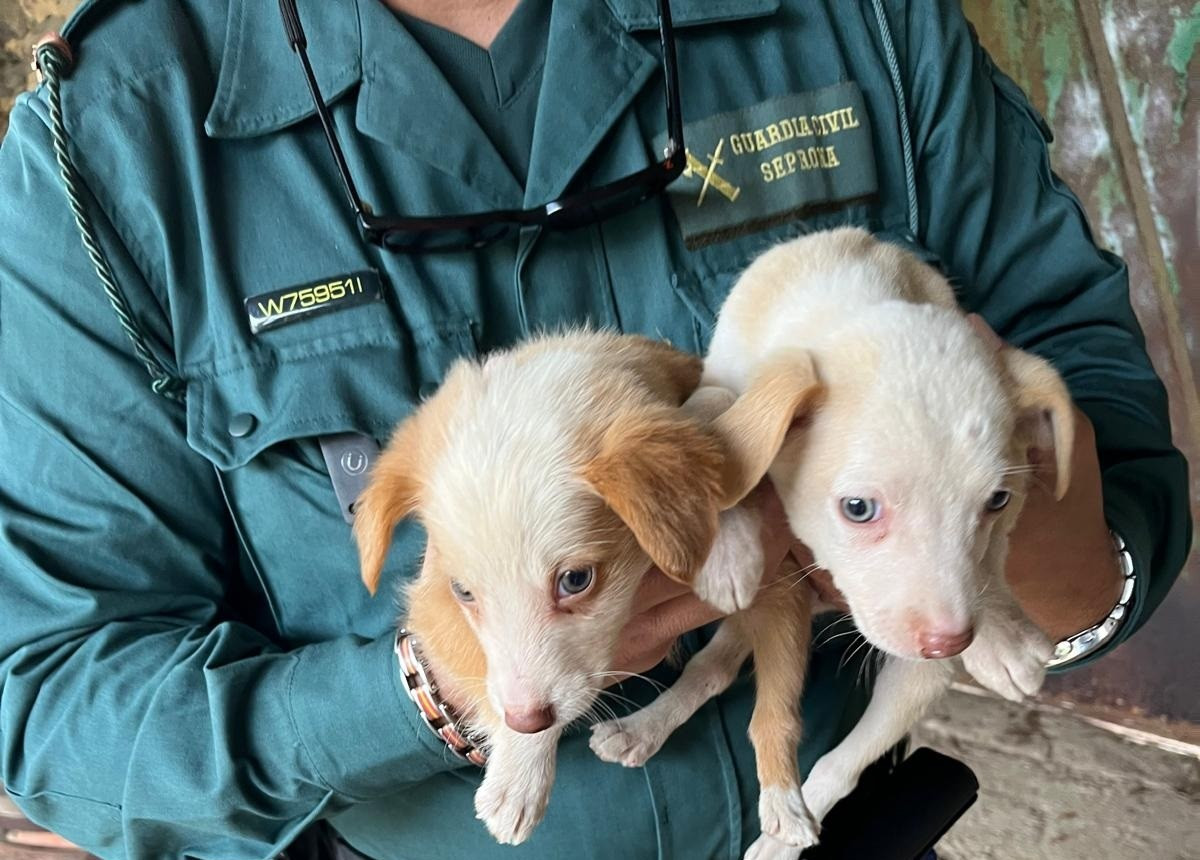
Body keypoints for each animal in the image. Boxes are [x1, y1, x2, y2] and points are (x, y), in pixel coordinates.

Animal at [350, 331, 816, 844]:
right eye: (465, 592)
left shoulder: (782, 577)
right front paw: (520, 774)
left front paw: (725, 546)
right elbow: (481, 669)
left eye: (575, 580)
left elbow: (712, 414)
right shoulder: (434, 600)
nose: (527, 722)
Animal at [590, 230, 1070, 858]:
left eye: (997, 501)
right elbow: (713, 419)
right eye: (858, 508)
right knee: (707, 667)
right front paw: (727, 547)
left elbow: (843, 764)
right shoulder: (723, 379)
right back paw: (641, 728)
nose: (950, 642)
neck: (856, 289)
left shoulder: (922, 667)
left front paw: (1002, 639)